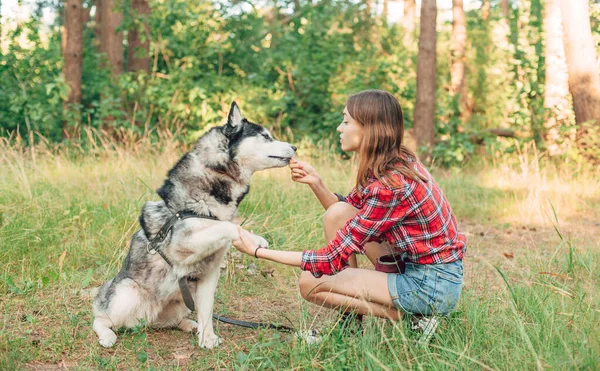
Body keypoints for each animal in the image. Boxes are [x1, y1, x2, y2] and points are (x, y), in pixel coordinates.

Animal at [92, 101, 296, 348]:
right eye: (266, 136)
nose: (295, 147)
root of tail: (150, 316)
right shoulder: (182, 243)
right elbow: (229, 226)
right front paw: (252, 238)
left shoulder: (209, 274)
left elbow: (206, 311)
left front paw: (207, 339)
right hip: (127, 294)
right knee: (101, 317)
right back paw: (106, 335)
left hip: (180, 302)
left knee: (174, 320)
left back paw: (190, 325)